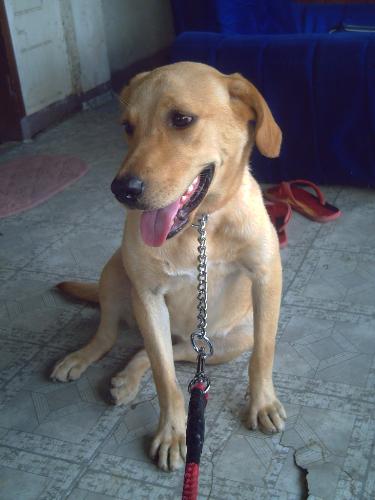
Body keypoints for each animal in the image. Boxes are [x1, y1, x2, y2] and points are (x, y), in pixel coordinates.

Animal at [51, 60, 286, 470]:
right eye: (127, 126)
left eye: (182, 119)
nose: (122, 190)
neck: (200, 226)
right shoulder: (147, 296)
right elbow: (165, 379)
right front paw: (173, 433)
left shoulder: (266, 276)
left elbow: (263, 354)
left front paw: (262, 403)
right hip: (115, 273)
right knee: (112, 337)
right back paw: (83, 358)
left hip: (221, 345)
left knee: (155, 352)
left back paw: (126, 376)